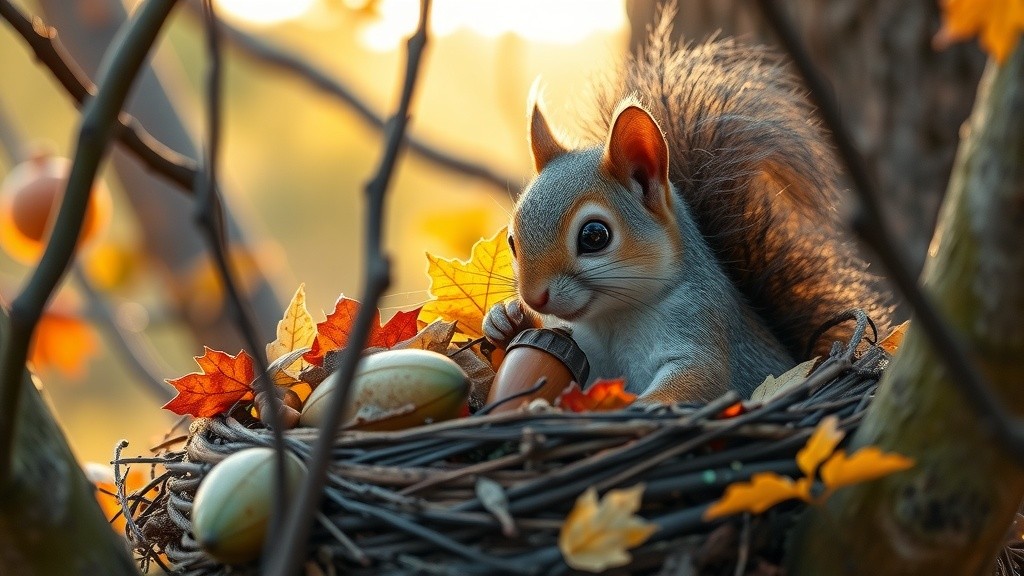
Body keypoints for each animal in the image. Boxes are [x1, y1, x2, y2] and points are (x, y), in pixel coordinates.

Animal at [483, 10, 893, 405]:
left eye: (595, 236)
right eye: (512, 241)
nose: (533, 297)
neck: (614, 317)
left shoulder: (700, 328)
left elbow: (699, 380)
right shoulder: (585, 354)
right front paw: (506, 321)